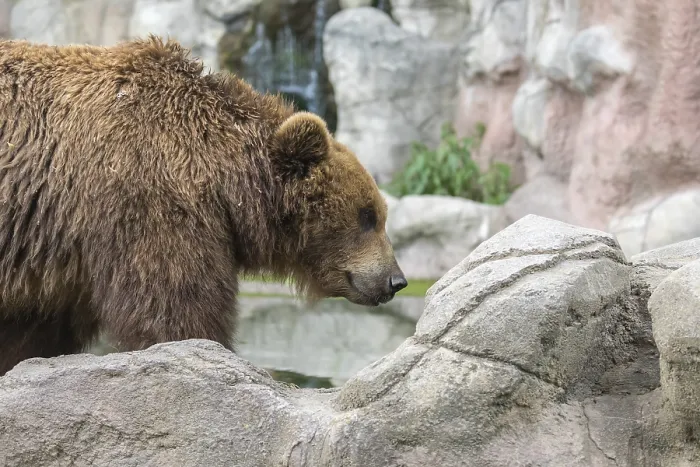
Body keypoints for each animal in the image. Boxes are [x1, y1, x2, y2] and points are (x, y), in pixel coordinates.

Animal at [0, 35, 408, 376]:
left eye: (378, 214)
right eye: (368, 216)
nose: (396, 280)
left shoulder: (52, 256)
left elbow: (33, 334)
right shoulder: (149, 198)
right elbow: (176, 309)